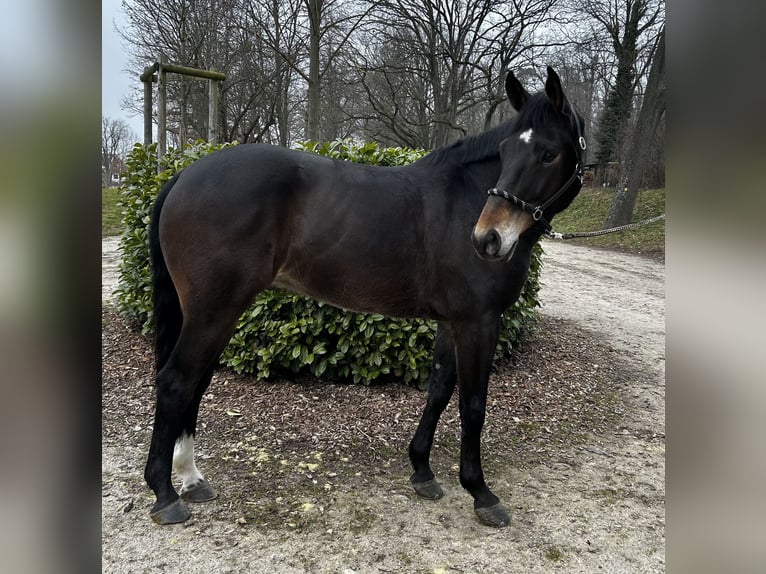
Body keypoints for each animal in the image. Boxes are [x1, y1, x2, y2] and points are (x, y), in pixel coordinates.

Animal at [144, 66, 587, 528]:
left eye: (548, 154)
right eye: (505, 151)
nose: (489, 239)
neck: (465, 198)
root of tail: (183, 175)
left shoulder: (453, 321)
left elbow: (439, 391)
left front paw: (422, 470)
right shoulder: (479, 321)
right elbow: (473, 405)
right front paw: (481, 492)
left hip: (214, 313)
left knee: (196, 382)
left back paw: (191, 478)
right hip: (214, 310)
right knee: (177, 382)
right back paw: (165, 493)